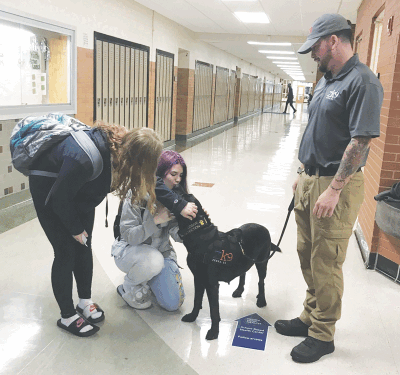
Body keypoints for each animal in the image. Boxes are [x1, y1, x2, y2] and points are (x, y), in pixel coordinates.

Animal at [175, 191, 282, 340]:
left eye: (182, 197)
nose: (176, 188)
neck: (200, 235)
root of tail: (263, 227)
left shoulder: (211, 284)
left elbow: (214, 310)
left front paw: (214, 332)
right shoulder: (198, 278)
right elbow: (197, 301)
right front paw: (192, 317)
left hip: (262, 262)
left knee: (261, 281)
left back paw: (261, 300)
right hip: (243, 261)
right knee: (243, 272)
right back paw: (239, 290)